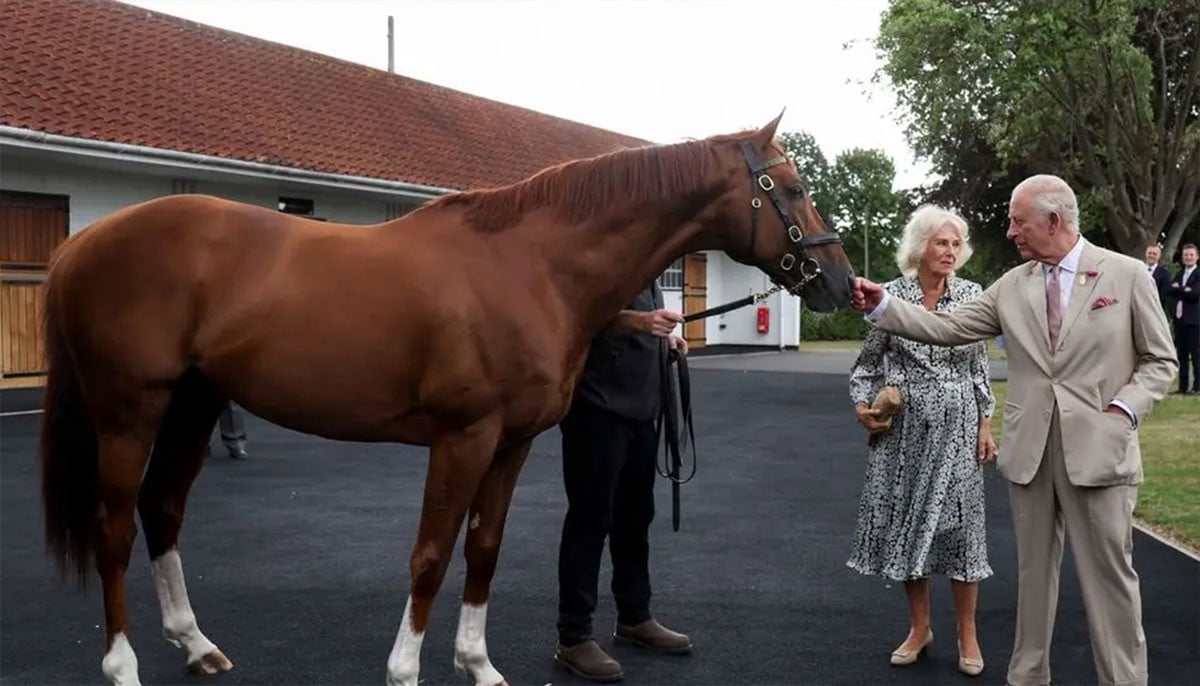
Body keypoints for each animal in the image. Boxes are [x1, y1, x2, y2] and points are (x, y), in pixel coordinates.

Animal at [37, 112, 855, 686]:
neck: (530, 266)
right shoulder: (463, 438)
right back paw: (123, 666)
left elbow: (484, 549)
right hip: (130, 410)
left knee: (163, 511)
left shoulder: (512, 443)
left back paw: (197, 645)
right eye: (792, 189)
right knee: (115, 528)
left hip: (194, 405)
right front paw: (405, 670)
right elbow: (431, 554)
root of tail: (82, 244)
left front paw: (478, 665)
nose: (842, 285)